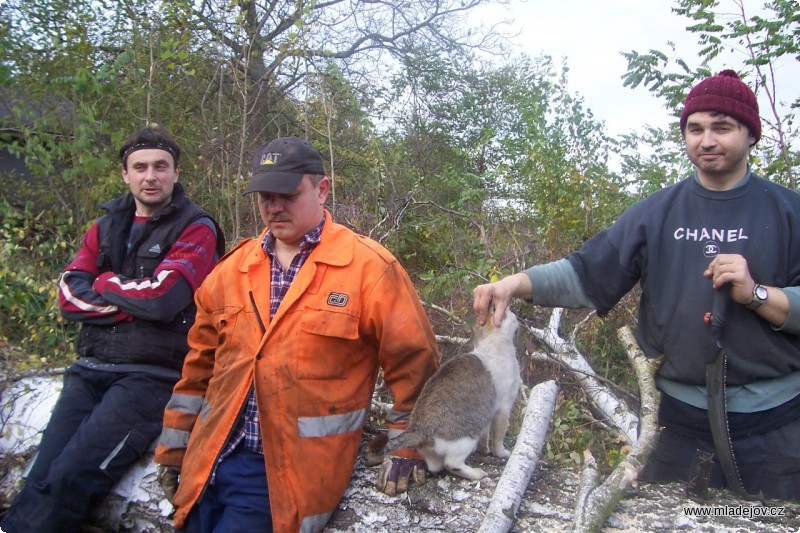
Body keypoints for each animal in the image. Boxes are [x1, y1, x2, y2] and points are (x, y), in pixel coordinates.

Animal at [382, 308, 520, 478]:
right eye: (508, 312)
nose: (513, 313)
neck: (493, 343)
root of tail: (419, 430)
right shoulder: (503, 408)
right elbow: (499, 437)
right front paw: (501, 453)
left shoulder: (488, 410)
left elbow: (485, 435)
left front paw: (484, 449)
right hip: (467, 437)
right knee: (452, 463)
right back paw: (476, 473)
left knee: (435, 466)